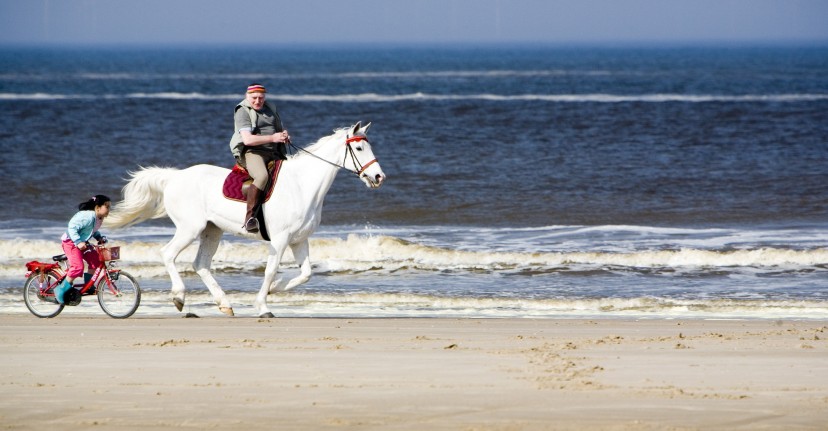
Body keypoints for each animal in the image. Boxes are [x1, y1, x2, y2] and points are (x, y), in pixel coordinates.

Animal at [106, 121, 384, 318]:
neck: (302, 185)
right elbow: (271, 270)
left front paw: (276, 289)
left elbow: (305, 274)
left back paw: (225, 304)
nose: (379, 177)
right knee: (168, 254)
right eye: (359, 148)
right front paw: (263, 305)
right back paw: (179, 297)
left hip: (212, 230)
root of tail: (174, 177)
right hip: (190, 228)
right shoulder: (280, 240)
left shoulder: (299, 240)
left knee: (200, 264)